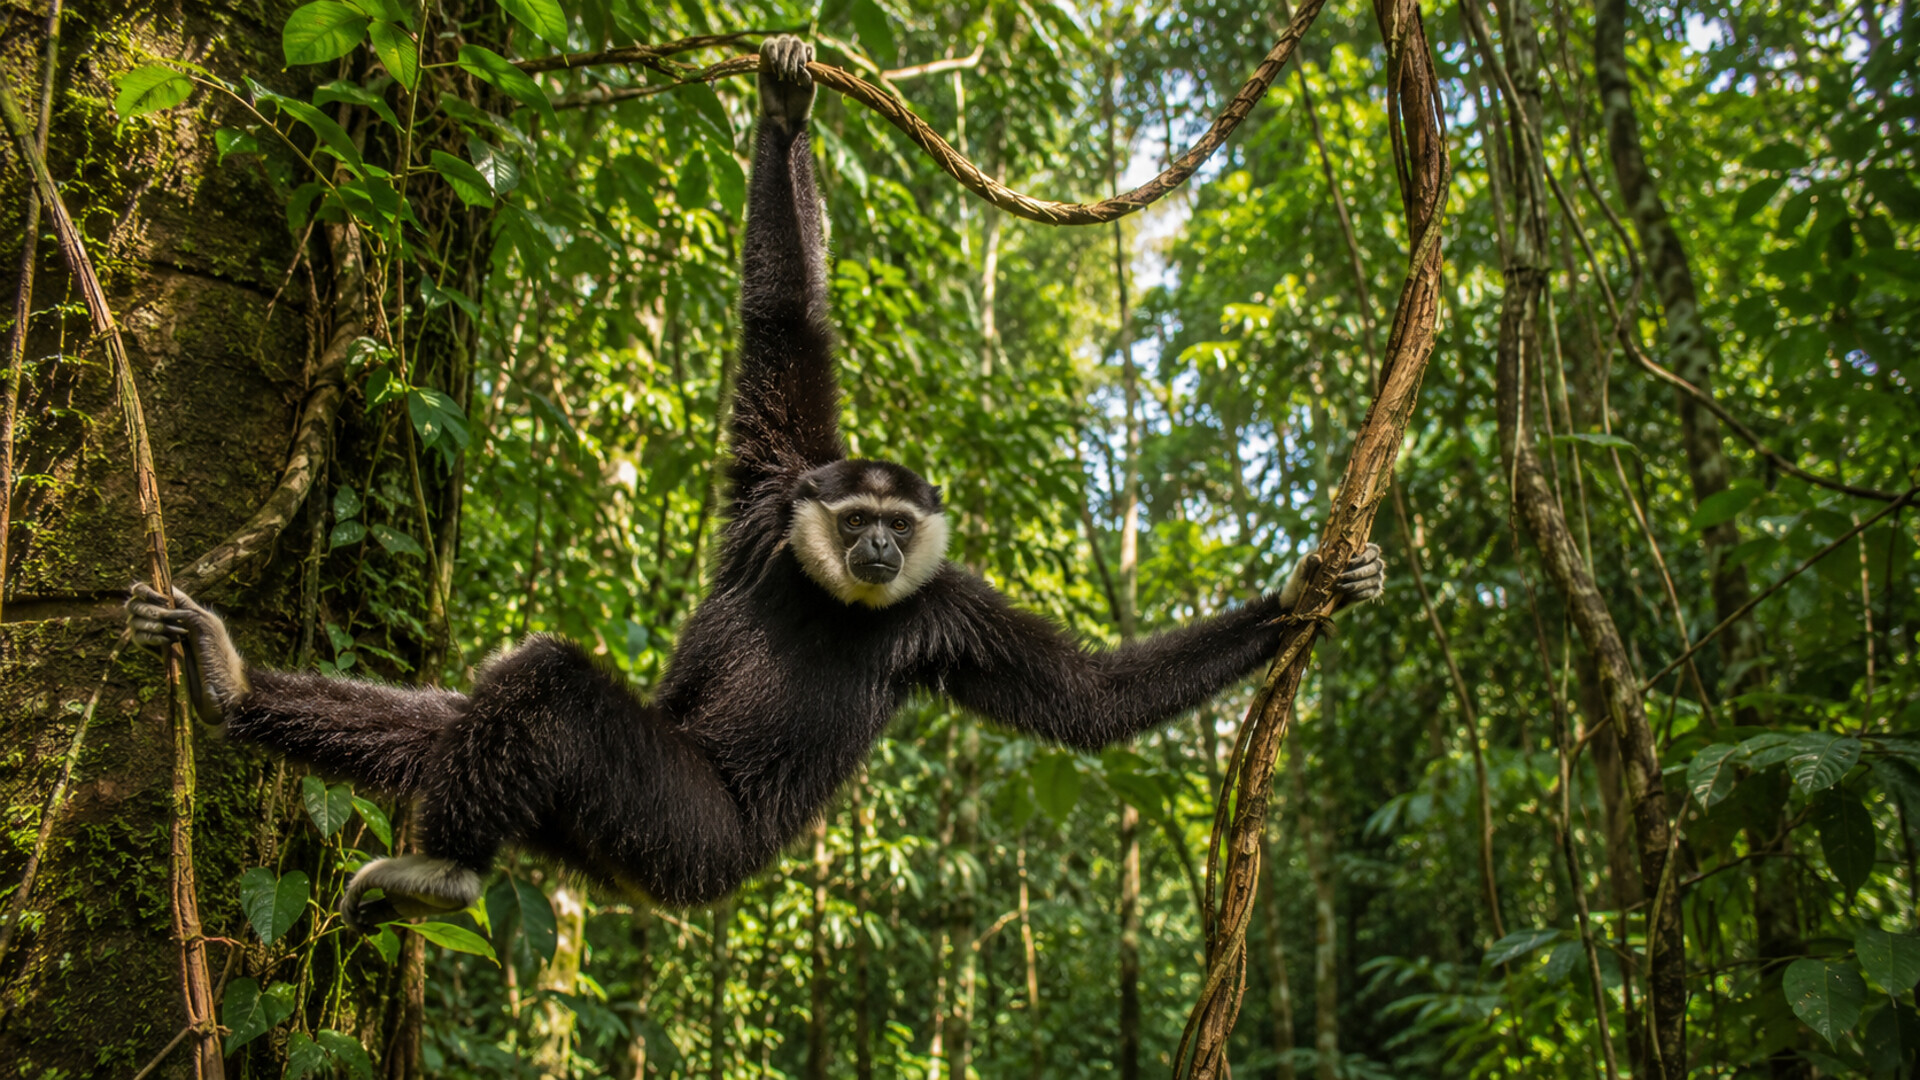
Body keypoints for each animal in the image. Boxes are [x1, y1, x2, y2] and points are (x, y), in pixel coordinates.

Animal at [127, 36, 1386, 930]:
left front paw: (1304, 598)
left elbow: (1087, 701)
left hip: (679, 833)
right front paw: (786, 115)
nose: (878, 550)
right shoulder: (774, 490)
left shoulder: (945, 610)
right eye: (863, 518)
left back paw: (441, 870)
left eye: (897, 527)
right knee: (479, 712)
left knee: (539, 694)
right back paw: (245, 698)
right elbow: (786, 324)